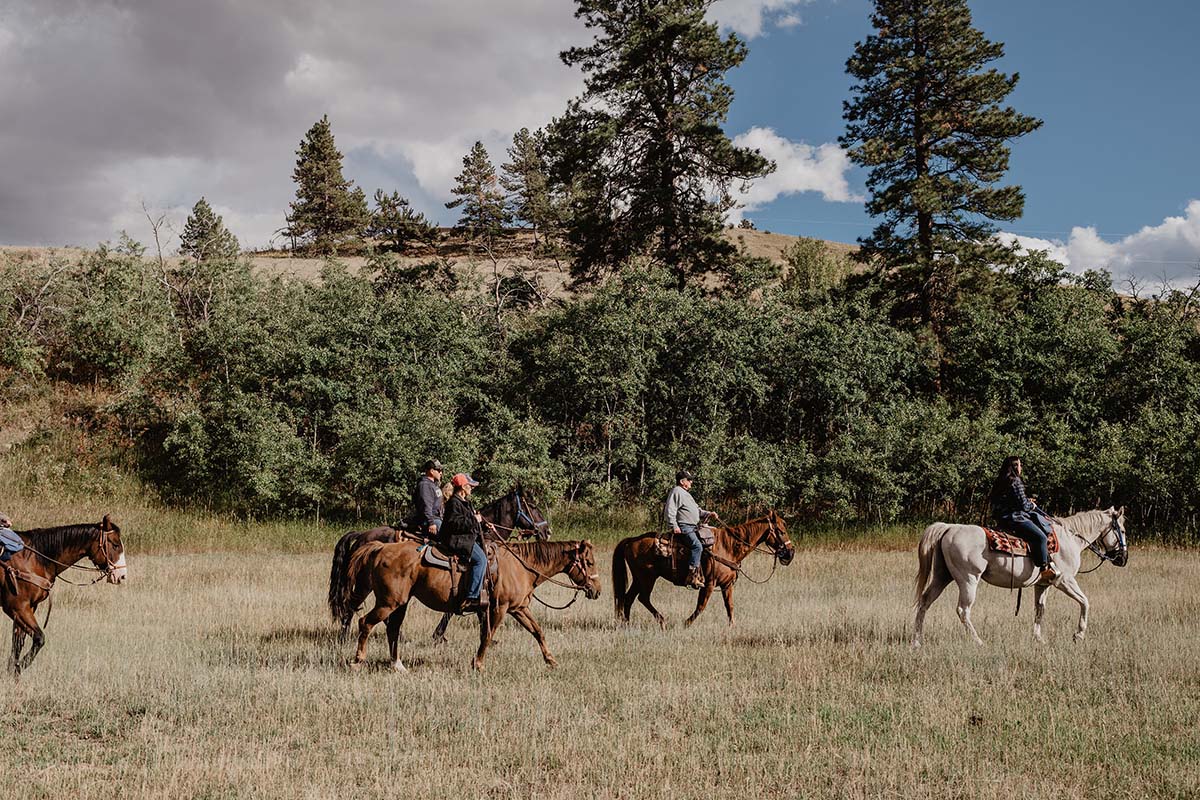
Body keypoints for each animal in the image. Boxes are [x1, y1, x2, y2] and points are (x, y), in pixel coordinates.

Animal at [1, 515, 127, 681]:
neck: (33, 559)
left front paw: (13, 673)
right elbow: (39, 638)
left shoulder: (28, 607)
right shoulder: (17, 607)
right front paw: (18, 668)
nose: (122, 575)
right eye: (115, 544)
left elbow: (18, 643)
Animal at [328, 484, 552, 633]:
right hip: (364, 584)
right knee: (351, 606)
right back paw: (344, 638)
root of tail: (362, 535)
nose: (547, 531)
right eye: (532, 505)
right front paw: (439, 634)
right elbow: (455, 609)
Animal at [345, 537, 600, 676]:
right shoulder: (499, 608)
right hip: (388, 602)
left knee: (392, 629)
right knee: (365, 622)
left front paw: (551, 660)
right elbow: (487, 635)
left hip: (400, 603)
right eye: (589, 562)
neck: (520, 566)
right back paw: (358, 660)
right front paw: (478, 664)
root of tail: (381, 548)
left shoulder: (518, 608)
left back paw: (398, 665)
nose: (597, 590)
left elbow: (538, 631)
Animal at [609, 513, 796, 633]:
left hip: (638, 578)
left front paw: (733, 627)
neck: (728, 546)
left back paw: (626, 625)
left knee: (628, 598)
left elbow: (730, 606)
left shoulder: (727, 585)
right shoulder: (709, 584)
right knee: (642, 598)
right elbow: (701, 606)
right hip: (647, 578)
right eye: (781, 531)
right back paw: (662, 622)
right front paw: (685, 624)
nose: (790, 552)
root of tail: (631, 540)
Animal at [912, 510, 1128, 647]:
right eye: (1123, 531)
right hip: (969, 580)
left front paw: (1039, 639)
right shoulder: (1065, 581)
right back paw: (979, 641)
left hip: (942, 576)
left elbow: (1040, 610)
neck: (1070, 539)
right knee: (963, 610)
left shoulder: (1043, 584)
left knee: (924, 602)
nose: (1123, 559)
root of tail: (950, 528)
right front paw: (1079, 635)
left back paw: (917, 642)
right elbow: (1085, 602)